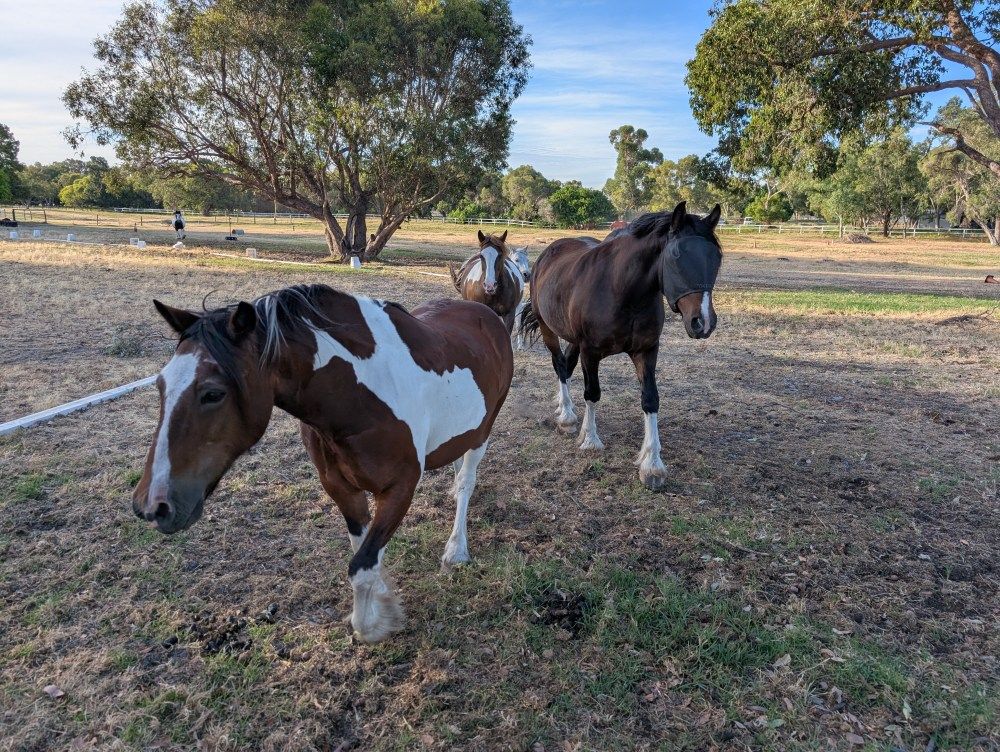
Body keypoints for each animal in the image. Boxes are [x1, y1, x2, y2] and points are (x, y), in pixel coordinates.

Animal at [131, 284, 514, 643]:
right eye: (160, 384)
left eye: (213, 393)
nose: (152, 505)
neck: (357, 395)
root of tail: (485, 313)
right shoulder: (341, 488)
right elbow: (364, 552)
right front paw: (384, 598)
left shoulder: (400, 489)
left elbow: (362, 567)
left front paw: (377, 622)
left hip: (483, 433)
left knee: (467, 484)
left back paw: (457, 549)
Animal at [520, 201, 722, 490]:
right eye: (676, 256)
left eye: (716, 257)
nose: (703, 322)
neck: (622, 290)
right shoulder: (590, 352)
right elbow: (592, 393)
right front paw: (591, 440)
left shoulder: (646, 351)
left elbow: (650, 399)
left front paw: (652, 464)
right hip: (549, 329)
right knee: (559, 366)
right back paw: (567, 416)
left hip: (573, 340)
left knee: (566, 367)